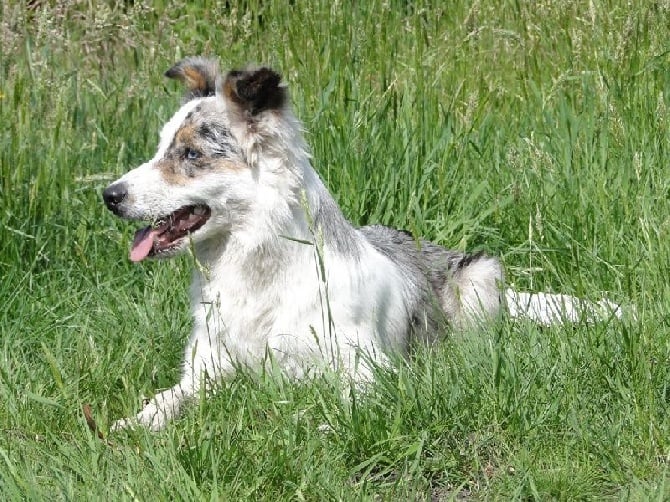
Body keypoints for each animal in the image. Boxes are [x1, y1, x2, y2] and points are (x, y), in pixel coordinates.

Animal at [103, 56, 624, 430]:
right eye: (160, 148)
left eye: (191, 154)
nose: (109, 196)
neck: (258, 274)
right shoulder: (206, 369)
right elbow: (166, 400)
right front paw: (133, 424)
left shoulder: (368, 372)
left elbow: (338, 404)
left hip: (479, 277)